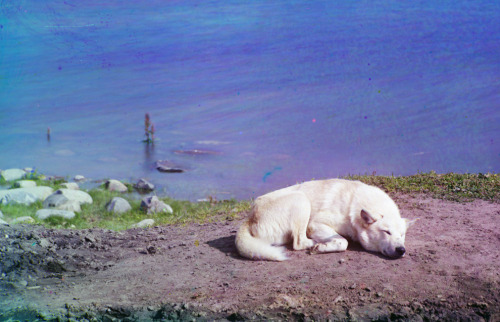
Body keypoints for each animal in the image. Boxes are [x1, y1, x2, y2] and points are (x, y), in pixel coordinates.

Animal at [236, 180, 416, 260]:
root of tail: (249, 220)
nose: (401, 250)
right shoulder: (315, 224)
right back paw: (314, 244)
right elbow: (344, 242)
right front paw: (322, 247)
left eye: (402, 235)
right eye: (386, 232)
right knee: (298, 243)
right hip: (301, 200)